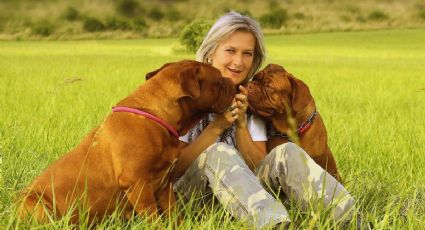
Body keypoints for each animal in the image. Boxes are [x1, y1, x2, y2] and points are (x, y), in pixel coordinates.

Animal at [18, 60, 235, 224]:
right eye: (218, 79)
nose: (234, 83)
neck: (158, 117)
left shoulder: (164, 186)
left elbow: (174, 215)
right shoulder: (137, 185)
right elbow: (154, 220)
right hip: (36, 204)